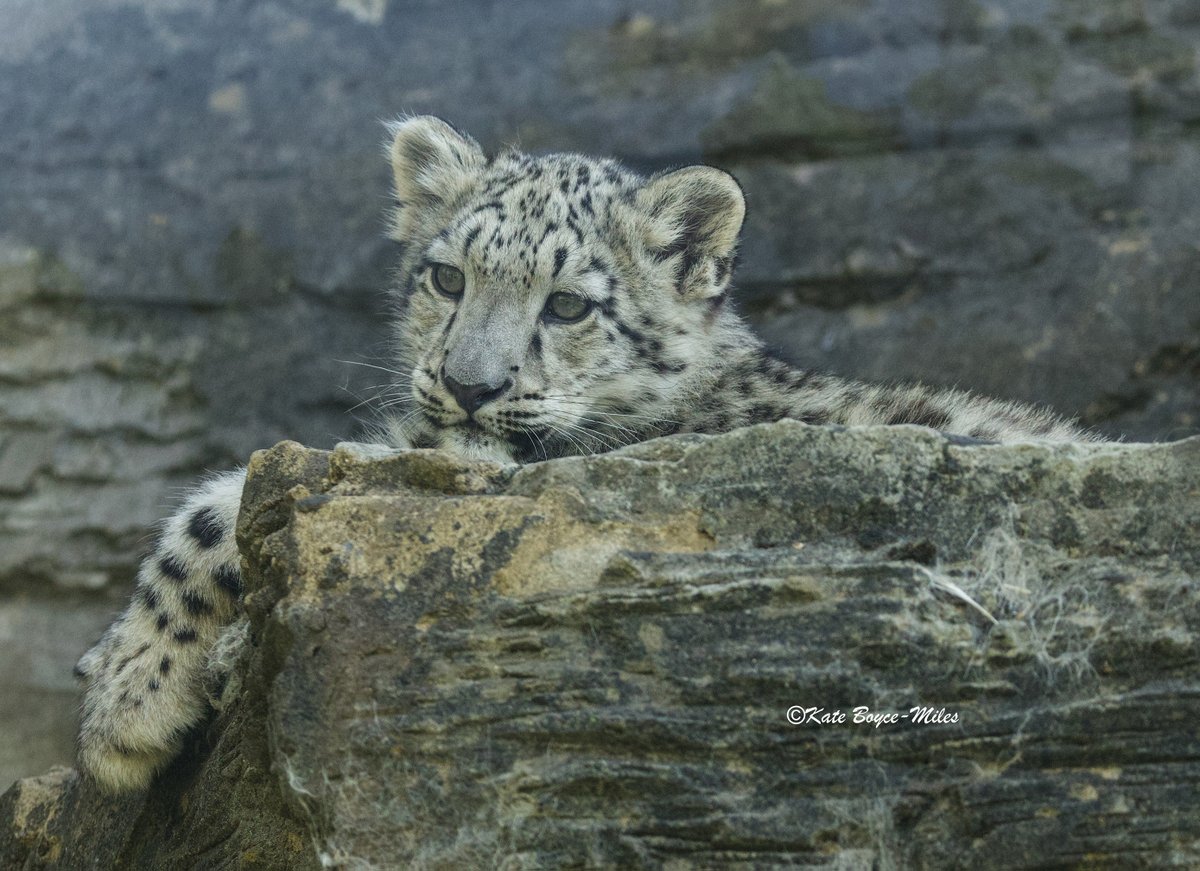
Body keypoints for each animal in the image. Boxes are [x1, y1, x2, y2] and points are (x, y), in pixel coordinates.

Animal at [74, 115, 1095, 792]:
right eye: (448, 276)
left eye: (567, 304)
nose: (471, 385)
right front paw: (121, 674)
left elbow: (216, 506)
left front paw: (126, 705)